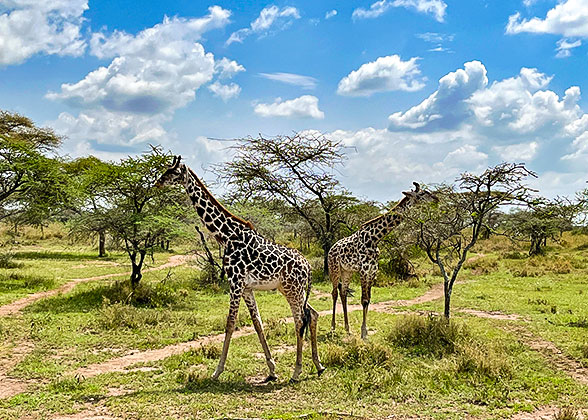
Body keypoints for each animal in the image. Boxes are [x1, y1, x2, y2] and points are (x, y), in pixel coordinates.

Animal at [155, 156, 326, 382]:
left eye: (172, 172)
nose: (158, 182)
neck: (227, 236)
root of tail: (308, 267)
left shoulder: (234, 283)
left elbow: (230, 323)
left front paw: (217, 371)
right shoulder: (246, 287)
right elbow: (257, 323)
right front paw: (272, 370)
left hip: (293, 289)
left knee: (300, 321)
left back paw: (297, 371)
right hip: (293, 290)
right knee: (312, 314)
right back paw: (318, 365)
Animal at [326, 181, 436, 338]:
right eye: (422, 194)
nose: (436, 199)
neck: (374, 239)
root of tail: (331, 249)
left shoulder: (372, 271)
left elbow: (369, 299)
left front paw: (364, 331)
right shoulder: (364, 271)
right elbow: (364, 300)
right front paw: (363, 333)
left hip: (347, 271)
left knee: (343, 293)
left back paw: (347, 328)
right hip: (334, 269)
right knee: (334, 293)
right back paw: (333, 327)